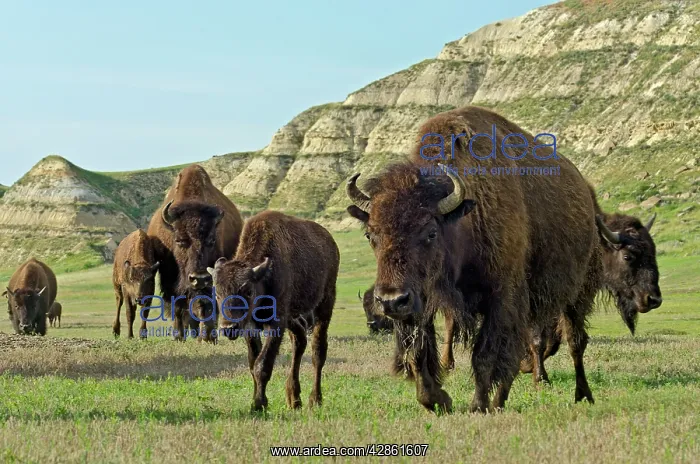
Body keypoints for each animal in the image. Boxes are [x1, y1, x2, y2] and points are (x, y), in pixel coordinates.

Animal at [147, 165, 243, 342]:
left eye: (211, 240)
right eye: (179, 240)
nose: (199, 278)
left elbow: (206, 305)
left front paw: (208, 338)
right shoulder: (170, 278)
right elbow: (178, 305)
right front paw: (178, 336)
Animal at [207, 210, 339, 411]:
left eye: (248, 290)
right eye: (217, 293)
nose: (228, 328)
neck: (264, 276)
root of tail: (330, 242)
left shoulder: (276, 323)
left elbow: (263, 365)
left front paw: (258, 404)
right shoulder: (251, 326)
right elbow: (253, 362)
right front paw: (257, 401)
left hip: (325, 303)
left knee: (318, 351)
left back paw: (315, 399)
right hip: (292, 317)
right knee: (299, 341)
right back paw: (294, 398)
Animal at [346, 106, 602, 413]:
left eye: (431, 232)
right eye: (370, 235)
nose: (391, 300)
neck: (464, 218)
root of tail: (587, 195)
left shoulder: (500, 298)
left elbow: (485, 355)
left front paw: (477, 406)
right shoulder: (422, 300)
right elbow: (418, 351)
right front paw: (437, 400)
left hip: (578, 293)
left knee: (575, 342)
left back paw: (583, 395)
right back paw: (501, 402)